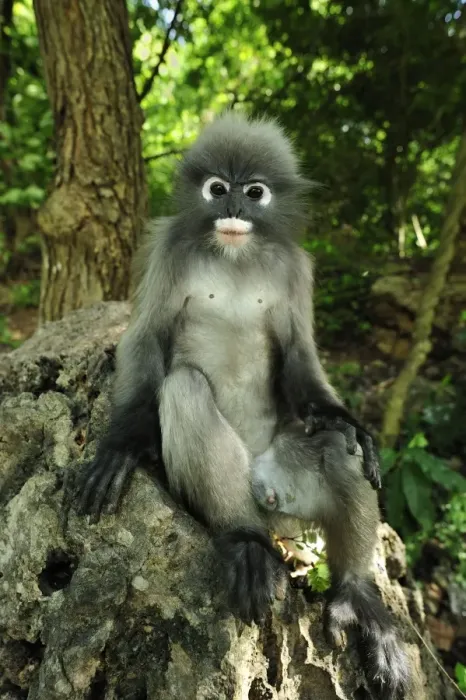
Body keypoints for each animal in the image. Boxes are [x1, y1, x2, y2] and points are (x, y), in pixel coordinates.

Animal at [73, 112, 408, 697]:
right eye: (216, 189)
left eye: (254, 192)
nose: (232, 209)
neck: (233, 255)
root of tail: (265, 493)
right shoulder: (167, 247)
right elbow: (144, 341)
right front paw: (120, 447)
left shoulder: (296, 267)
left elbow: (299, 355)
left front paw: (346, 419)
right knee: (183, 388)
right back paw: (247, 542)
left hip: (294, 491)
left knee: (335, 444)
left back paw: (355, 594)